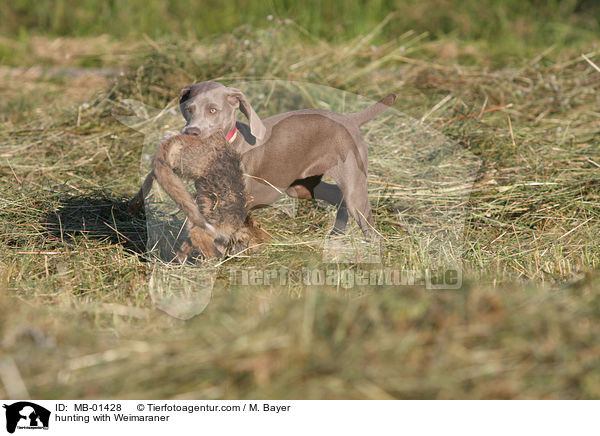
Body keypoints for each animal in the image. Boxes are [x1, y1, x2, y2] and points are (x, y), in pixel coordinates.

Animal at [129, 82, 396, 238]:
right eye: (188, 109)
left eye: (213, 110)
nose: (191, 132)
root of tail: (349, 119)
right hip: (300, 185)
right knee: (336, 195)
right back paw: (336, 234)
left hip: (353, 183)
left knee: (364, 219)